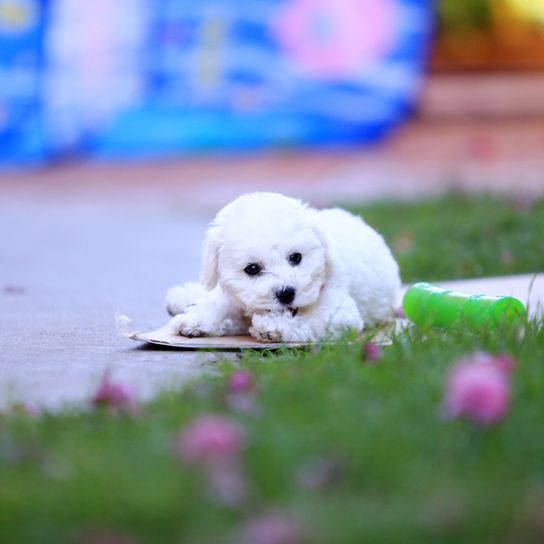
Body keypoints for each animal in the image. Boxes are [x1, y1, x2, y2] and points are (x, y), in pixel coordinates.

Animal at [166, 193, 400, 342]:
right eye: (252, 268)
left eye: (296, 257)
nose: (287, 293)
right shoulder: (235, 298)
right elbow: (218, 304)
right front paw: (196, 319)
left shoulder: (340, 311)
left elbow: (310, 319)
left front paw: (273, 327)